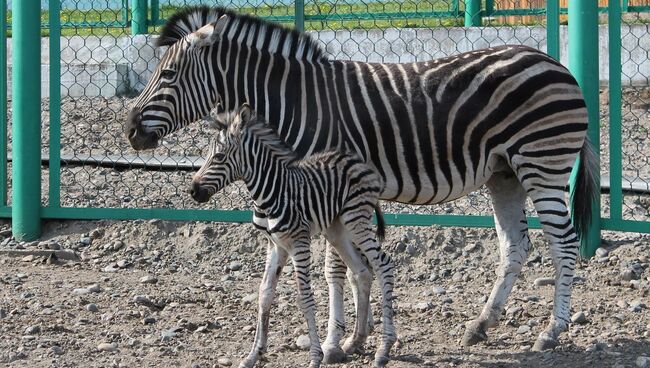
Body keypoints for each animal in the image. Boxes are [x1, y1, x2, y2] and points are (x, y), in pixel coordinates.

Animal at [187, 104, 394, 368]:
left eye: (219, 157)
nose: (193, 191)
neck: (270, 191)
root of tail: (358, 160)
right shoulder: (275, 245)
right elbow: (264, 294)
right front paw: (253, 355)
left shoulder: (299, 242)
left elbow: (304, 297)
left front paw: (315, 357)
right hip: (337, 229)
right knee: (362, 271)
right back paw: (355, 341)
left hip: (356, 219)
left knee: (383, 265)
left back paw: (384, 349)